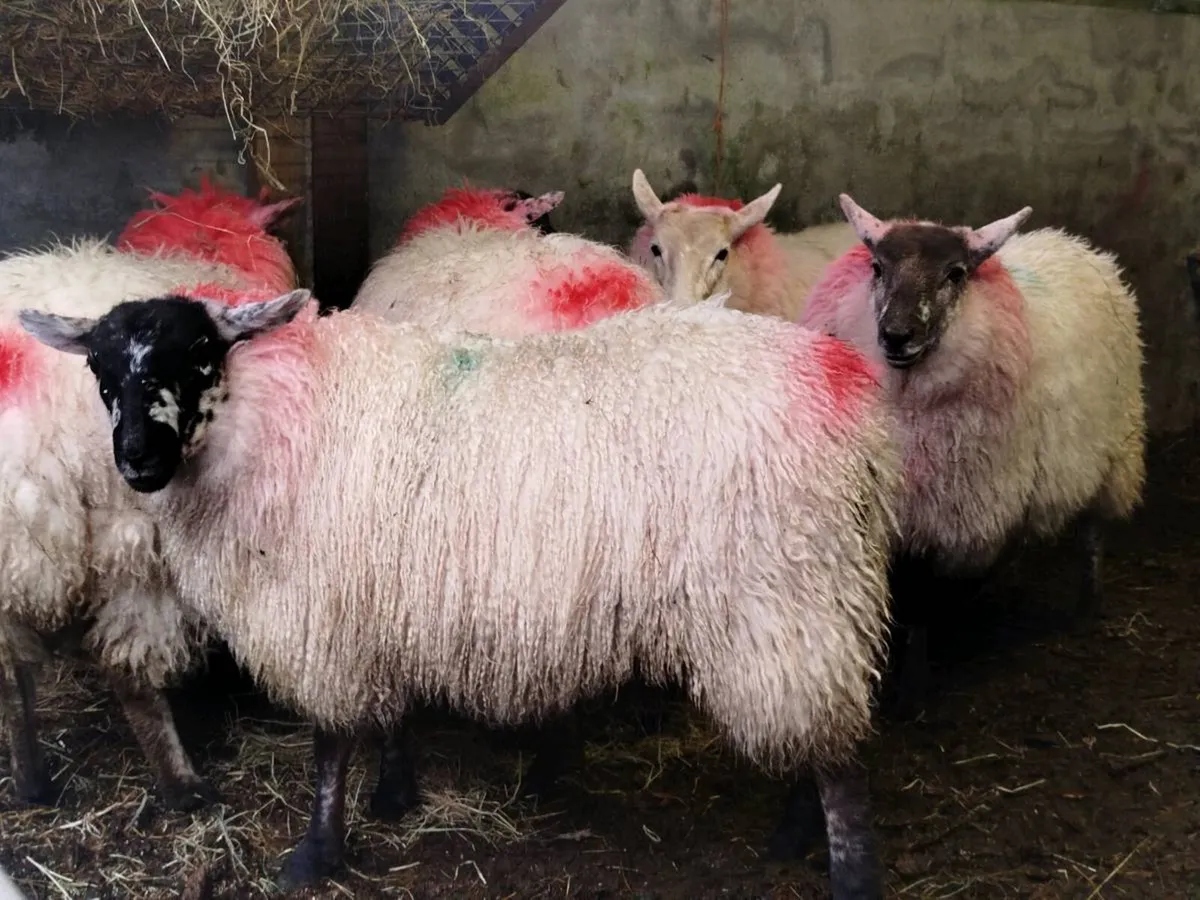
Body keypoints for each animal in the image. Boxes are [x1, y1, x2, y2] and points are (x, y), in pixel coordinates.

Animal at [23, 287, 901, 900]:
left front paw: (315, 852)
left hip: (788, 592)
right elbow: (384, 717)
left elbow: (329, 743)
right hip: (797, 605)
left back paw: (850, 869)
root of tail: (848, 397)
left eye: (198, 355)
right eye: (101, 372)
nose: (136, 461)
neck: (266, 420)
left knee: (841, 754)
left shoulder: (321, 612)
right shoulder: (377, 601)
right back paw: (795, 831)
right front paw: (394, 792)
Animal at [800, 194, 1146, 712]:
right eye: (877, 266)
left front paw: (912, 688)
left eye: (956, 274)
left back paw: (1087, 602)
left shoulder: (938, 512)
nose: (897, 335)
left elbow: (918, 598)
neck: (905, 397)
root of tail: (1078, 246)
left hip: (1113, 452)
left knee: (1092, 531)